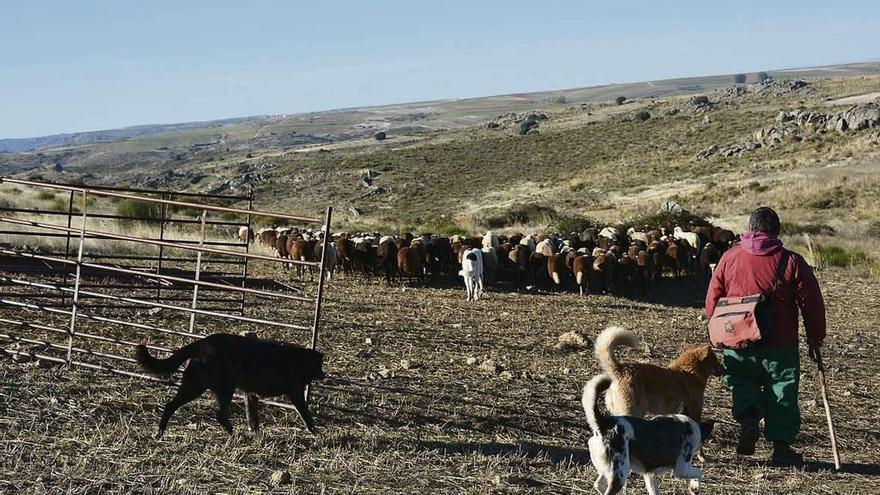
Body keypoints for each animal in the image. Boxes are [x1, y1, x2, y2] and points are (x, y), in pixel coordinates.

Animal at [138, 334, 326, 438]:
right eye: (319, 365)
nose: (324, 374)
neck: (298, 360)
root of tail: (203, 343)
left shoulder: (250, 395)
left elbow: (253, 417)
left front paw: (256, 434)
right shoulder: (295, 393)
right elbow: (305, 413)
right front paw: (314, 431)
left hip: (193, 385)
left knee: (170, 405)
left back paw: (160, 432)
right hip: (223, 388)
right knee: (220, 415)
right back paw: (234, 434)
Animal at [596, 328, 724, 424]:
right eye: (716, 360)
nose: (724, 369)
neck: (688, 371)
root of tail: (620, 369)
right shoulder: (695, 409)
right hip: (632, 412)